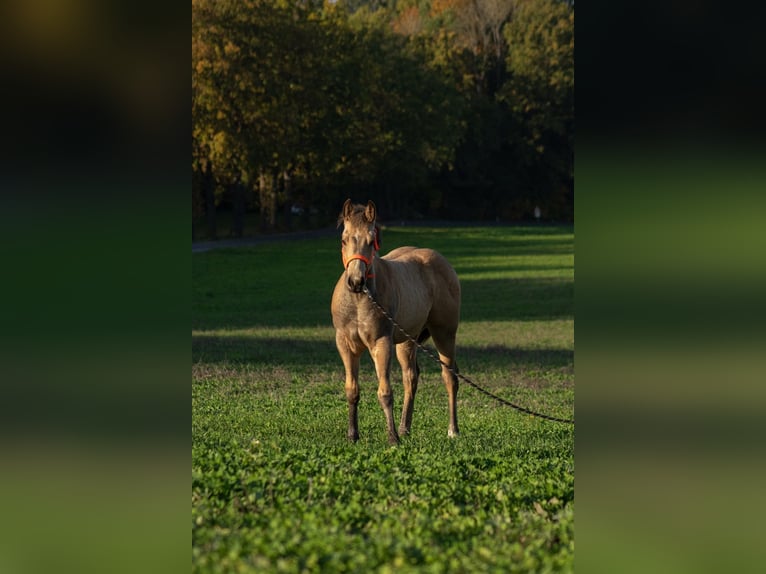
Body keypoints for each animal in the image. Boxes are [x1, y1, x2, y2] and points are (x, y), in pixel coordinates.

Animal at [332, 200, 462, 448]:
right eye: (344, 239)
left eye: (371, 240)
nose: (355, 281)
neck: (359, 301)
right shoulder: (345, 344)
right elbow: (351, 390)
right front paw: (353, 435)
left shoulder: (381, 343)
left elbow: (385, 392)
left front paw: (392, 438)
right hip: (407, 341)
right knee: (410, 377)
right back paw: (405, 427)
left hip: (444, 333)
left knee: (449, 376)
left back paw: (452, 430)